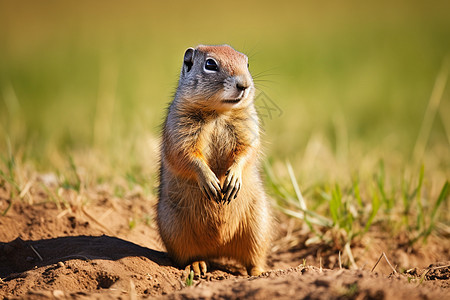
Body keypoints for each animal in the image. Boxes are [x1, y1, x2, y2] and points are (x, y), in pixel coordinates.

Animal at [156, 44, 272, 276]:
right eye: (210, 64)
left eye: (247, 63)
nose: (244, 84)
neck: (219, 112)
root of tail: (218, 247)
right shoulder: (179, 129)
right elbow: (186, 155)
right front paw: (209, 180)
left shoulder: (248, 126)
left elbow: (247, 150)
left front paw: (233, 178)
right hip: (175, 229)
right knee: (188, 256)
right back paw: (197, 265)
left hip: (258, 226)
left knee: (254, 258)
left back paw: (259, 272)